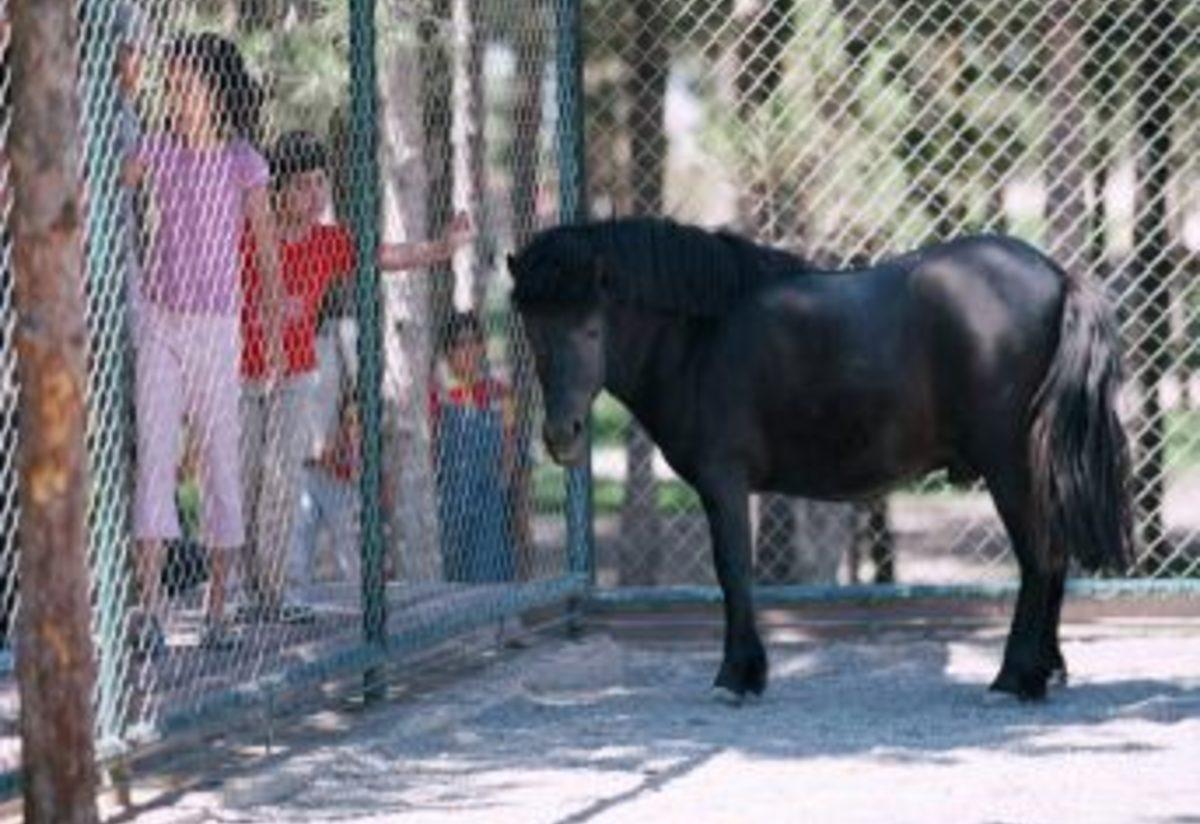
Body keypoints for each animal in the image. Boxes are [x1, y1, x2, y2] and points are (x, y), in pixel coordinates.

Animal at [508, 219, 1132, 700]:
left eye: (592, 328)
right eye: (533, 331)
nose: (562, 435)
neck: (703, 336)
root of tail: (1056, 276)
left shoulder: (723, 481)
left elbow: (733, 571)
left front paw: (737, 675)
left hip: (1010, 469)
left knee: (1040, 560)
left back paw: (1014, 678)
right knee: (1053, 558)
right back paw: (1043, 671)